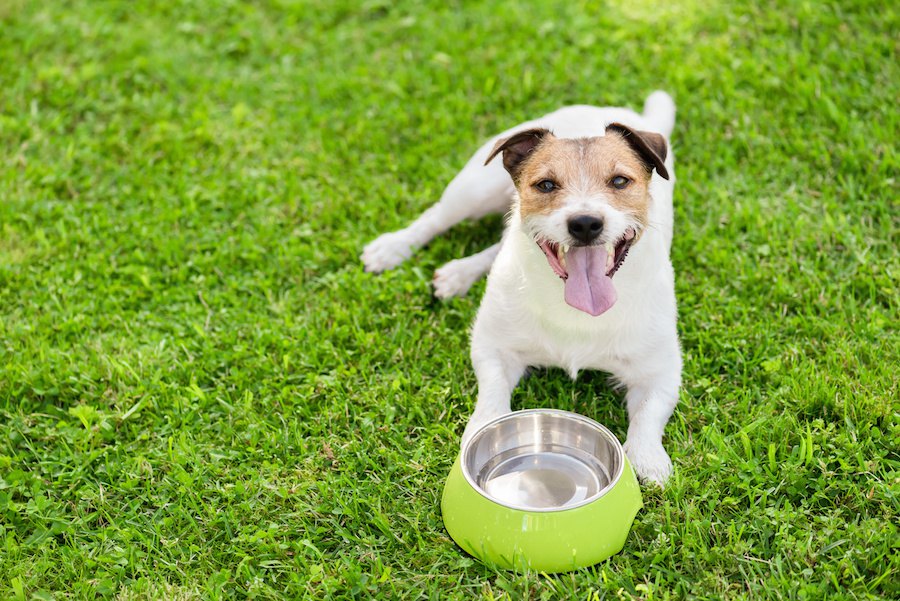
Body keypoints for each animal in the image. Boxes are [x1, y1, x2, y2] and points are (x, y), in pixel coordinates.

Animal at [362, 90, 680, 482]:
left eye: (620, 181)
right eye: (546, 185)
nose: (585, 223)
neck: (573, 307)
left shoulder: (660, 372)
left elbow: (648, 417)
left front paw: (648, 460)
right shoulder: (493, 347)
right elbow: (492, 397)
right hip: (474, 189)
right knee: (437, 217)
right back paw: (393, 248)